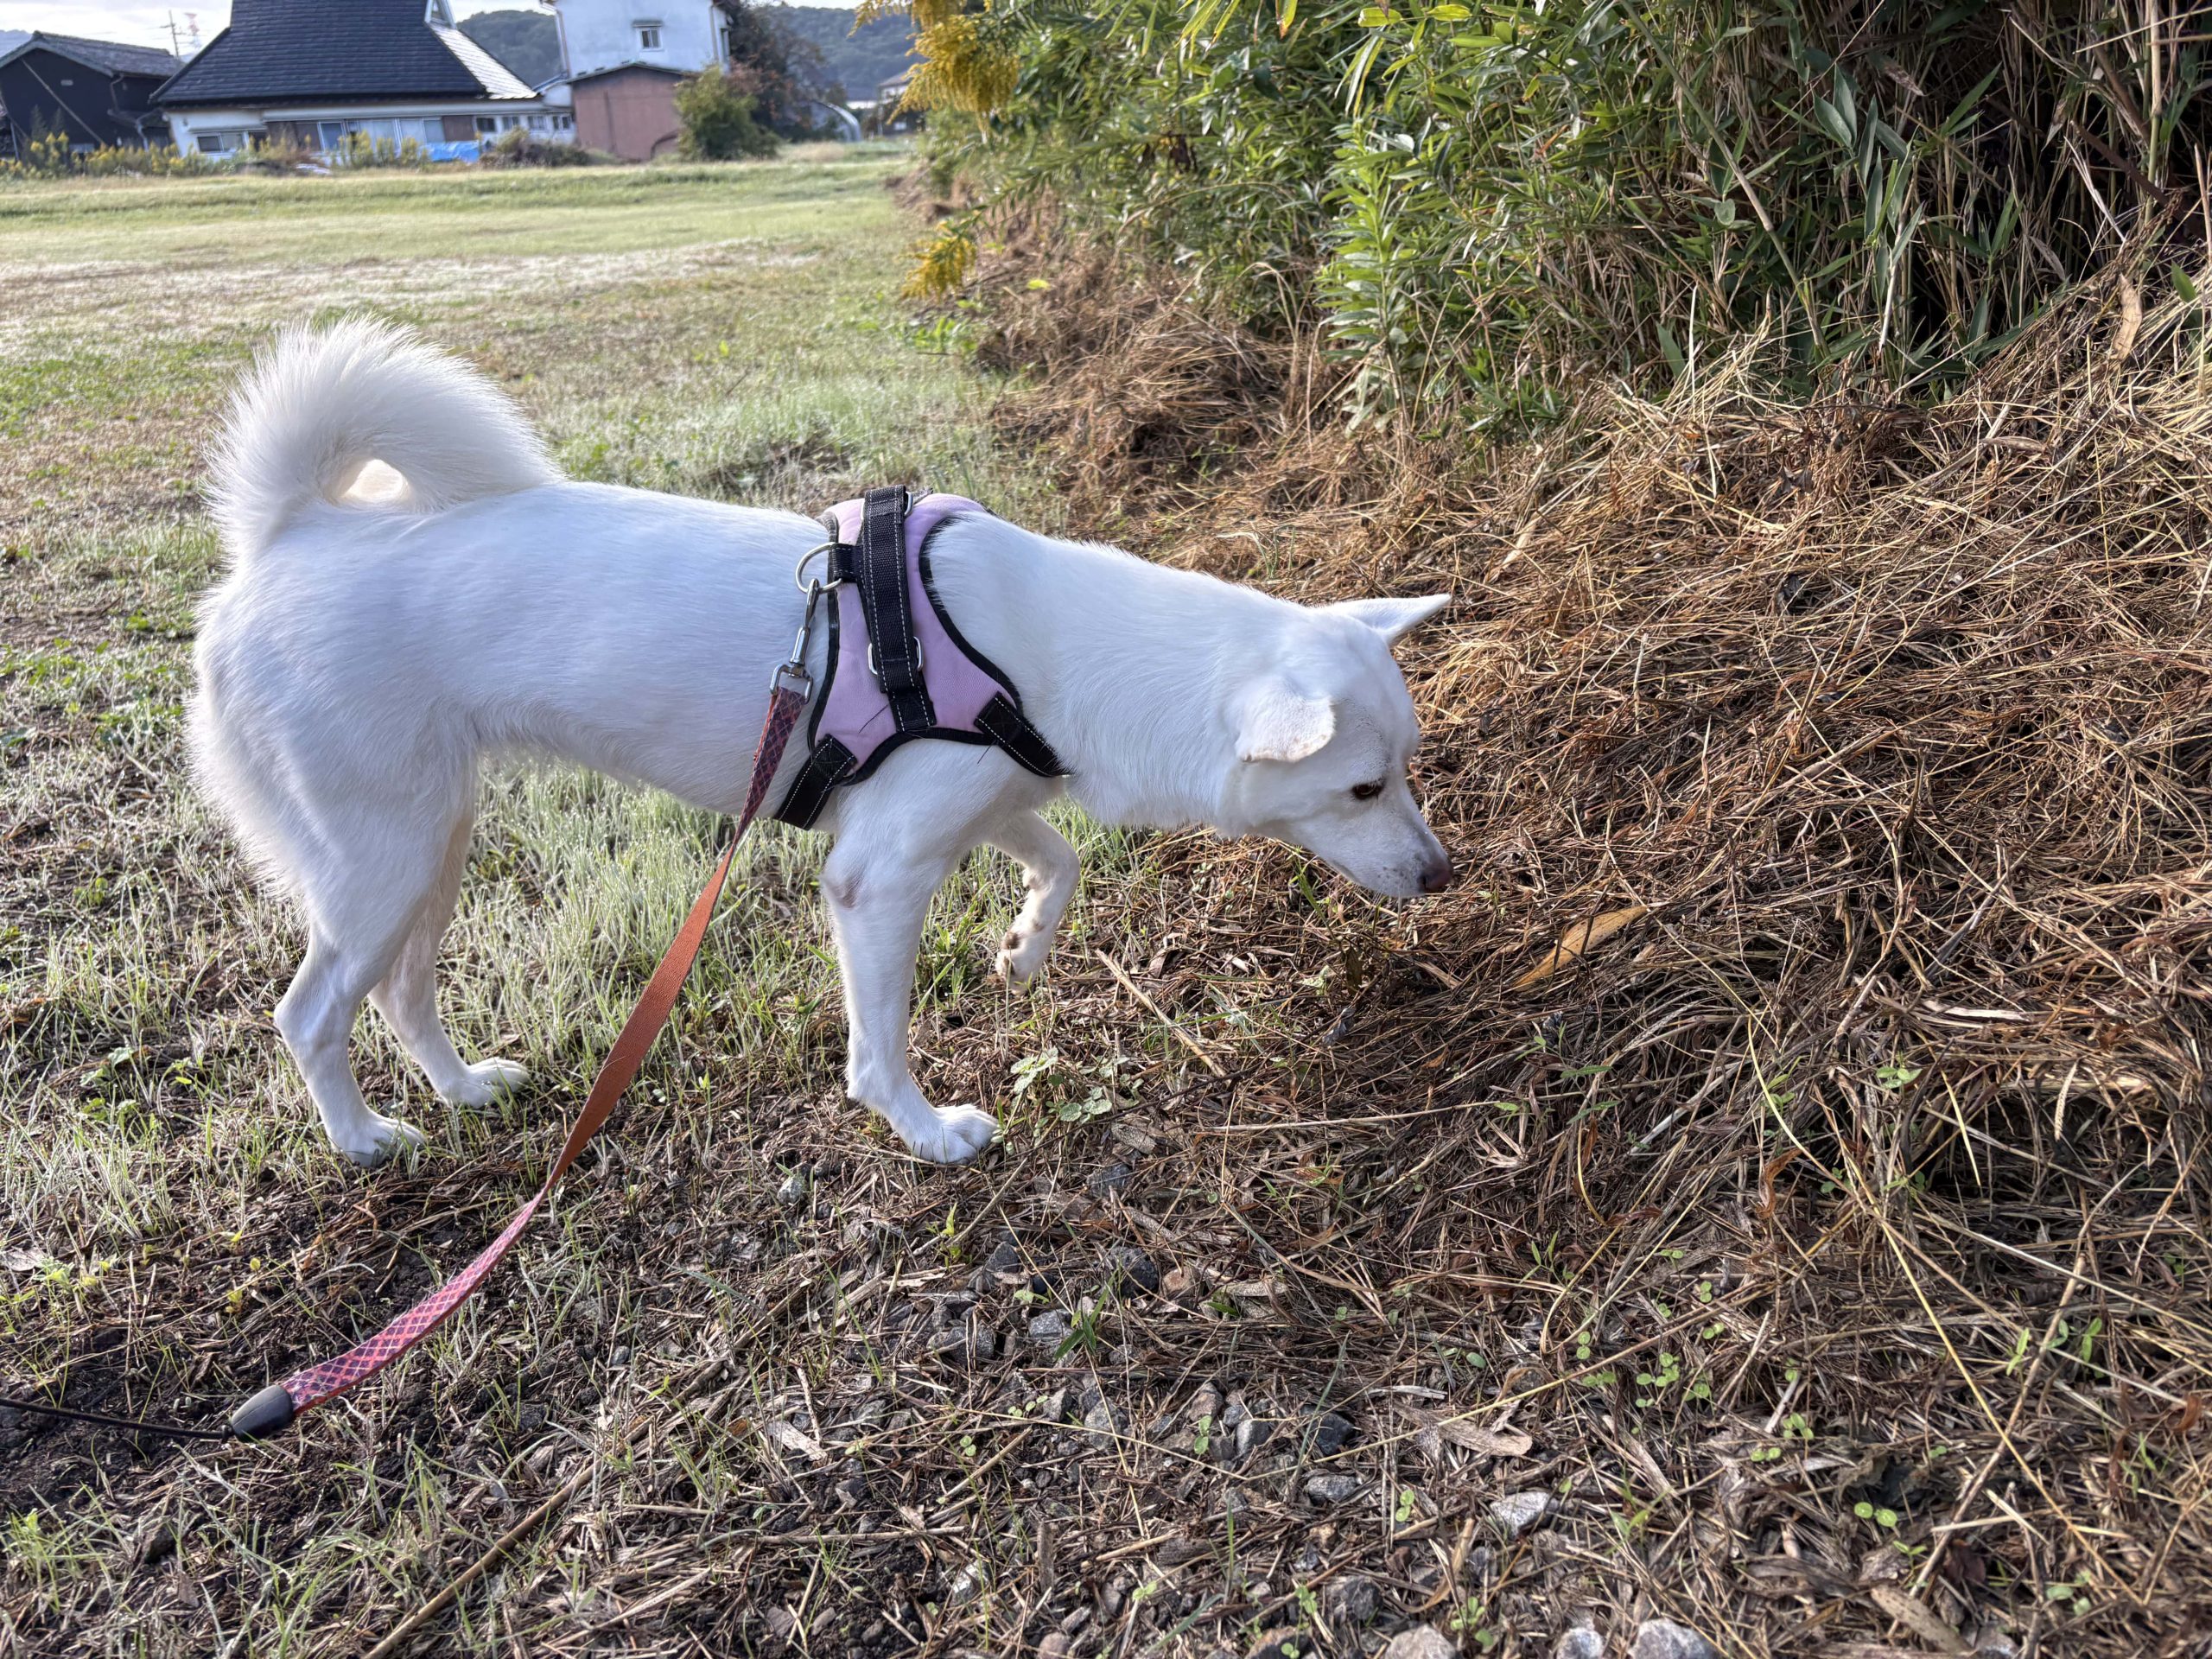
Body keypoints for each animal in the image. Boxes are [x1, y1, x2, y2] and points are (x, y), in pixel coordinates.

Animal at [189, 321, 1453, 1167]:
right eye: (1362, 789)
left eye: (1405, 772)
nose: (1443, 875)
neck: (1043, 643)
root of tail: (289, 533)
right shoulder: (876, 879)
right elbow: (880, 1046)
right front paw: (926, 1130)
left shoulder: (982, 803)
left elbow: (1060, 863)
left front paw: (1024, 950)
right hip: (380, 863)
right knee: (310, 1015)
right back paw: (363, 1138)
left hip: (429, 851)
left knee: (402, 997)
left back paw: (464, 1093)